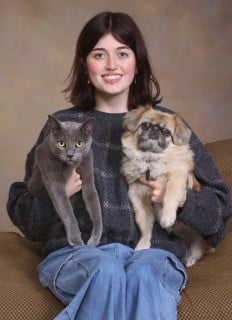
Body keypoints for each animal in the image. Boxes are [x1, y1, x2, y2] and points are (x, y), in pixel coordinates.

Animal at [27, 115, 102, 248]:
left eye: (79, 143)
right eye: (61, 143)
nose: (70, 155)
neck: (70, 166)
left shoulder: (87, 168)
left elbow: (94, 202)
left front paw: (95, 238)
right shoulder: (52, 177)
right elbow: (66, 210)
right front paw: (76, 239)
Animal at [121, 105, 214, 268]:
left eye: (166, 132)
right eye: (145, 125)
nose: (154, 129)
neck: (150, 161)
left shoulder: (177, 178)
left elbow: (170, 195)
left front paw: (167, 217)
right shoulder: (139, 199)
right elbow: (144, 225)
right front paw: (143, 245)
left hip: (198, 238)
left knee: (199, 250)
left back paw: (191, 259)